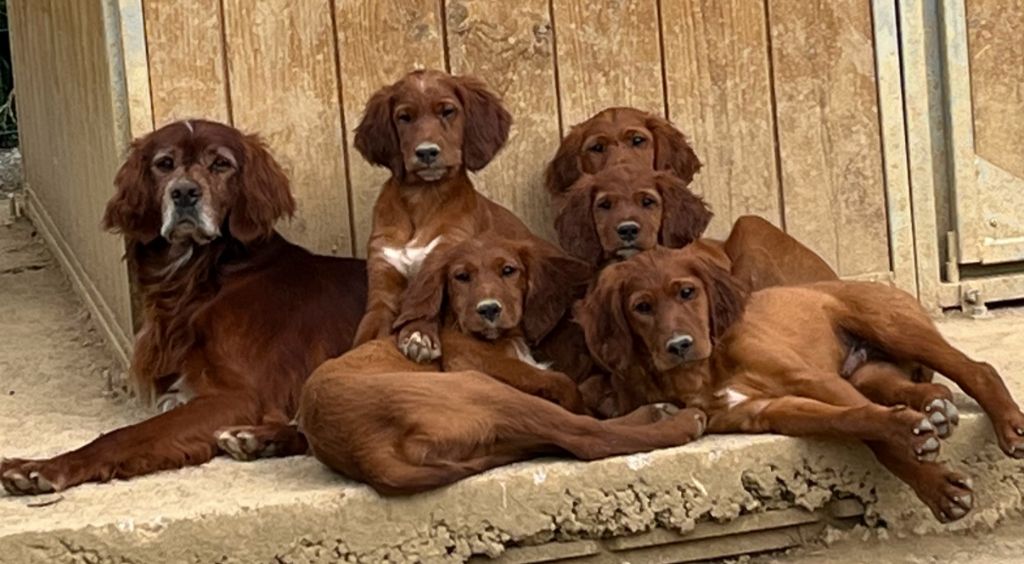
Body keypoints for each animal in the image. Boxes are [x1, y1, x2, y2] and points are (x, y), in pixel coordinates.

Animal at [0, 119, 368, 495]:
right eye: (164, 163)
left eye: (220, 163)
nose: (185, 193)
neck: (200, 277)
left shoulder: (240, 395)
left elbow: (124, 435)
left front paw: (43, 467)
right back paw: (258, 440)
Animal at [577, 244, 1024, 524]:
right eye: (642, 307)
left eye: (687, 292)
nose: (679, 345)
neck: (704, 371)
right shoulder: (774, 410)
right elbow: (860, 422)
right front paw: (923, 459)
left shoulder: (812, 379)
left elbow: (875, 431)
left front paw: (935, 483)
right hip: (866, 371)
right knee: (909, 388)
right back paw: (935, 408)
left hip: (890, 325)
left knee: (977, 368)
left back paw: (1008, 425)